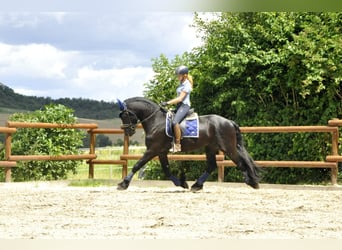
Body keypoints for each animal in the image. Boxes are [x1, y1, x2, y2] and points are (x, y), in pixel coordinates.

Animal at [117, 96, 260, 190]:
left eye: (125, 115)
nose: (128, 131)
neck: (156, 121)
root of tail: (229, 122)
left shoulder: (153, 149)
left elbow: (137, 165)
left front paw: (123, 184)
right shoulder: (161, 152)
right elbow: (167, 170)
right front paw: (182, 183)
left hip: (228, 147)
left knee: (240, 163)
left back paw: (252, 182)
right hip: (211, 147)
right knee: (212, 165)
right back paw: (197, 185)